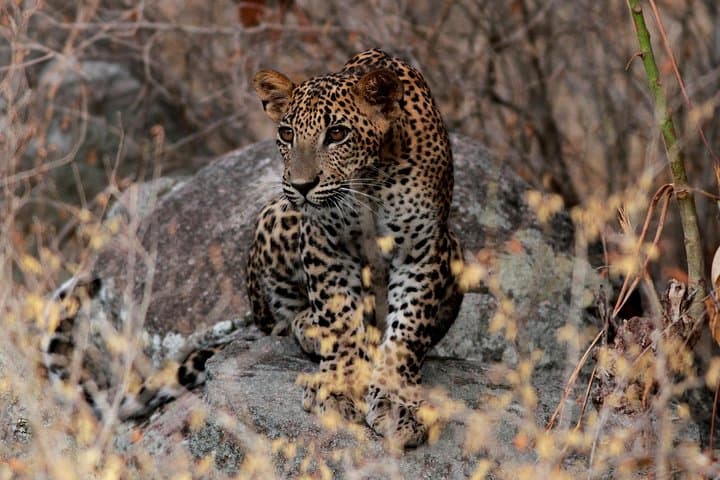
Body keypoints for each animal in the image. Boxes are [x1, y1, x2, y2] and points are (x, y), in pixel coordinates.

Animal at [247, 48, 464, 448]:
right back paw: (310, 328)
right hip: (278, 215)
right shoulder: (325, 242)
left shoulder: (422, 248)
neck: (371, 180)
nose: (301, 185)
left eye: (337, 133)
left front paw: (397, 402)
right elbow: (339, 321)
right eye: (286, 133)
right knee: (283, 318)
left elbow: (408, 332)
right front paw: (340, 387)